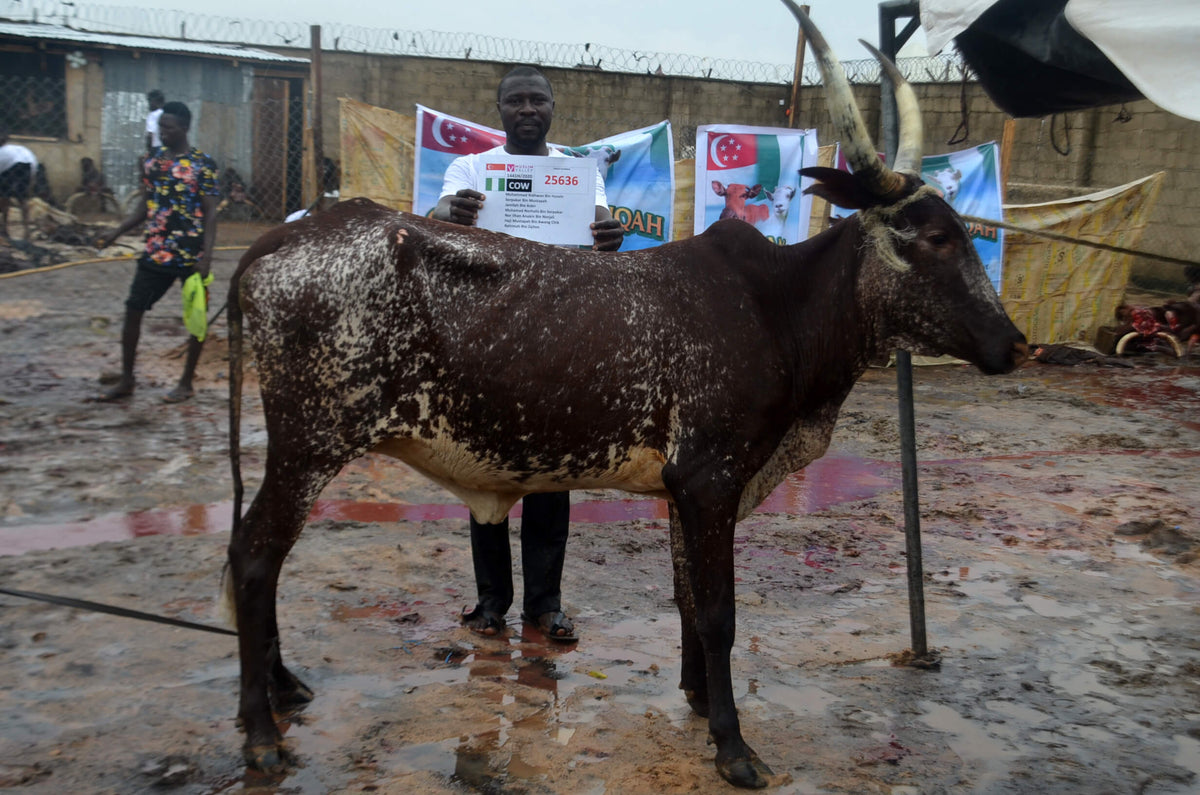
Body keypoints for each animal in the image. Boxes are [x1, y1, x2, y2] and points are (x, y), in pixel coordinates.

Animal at [223, 2, 1028, 788]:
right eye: (932, 237)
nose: (1016, 344)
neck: (780, 308)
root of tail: (288, 236)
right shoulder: (710, 477)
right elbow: (719, 611)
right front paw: (733, 745)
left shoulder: (683, 487)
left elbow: (687, 597)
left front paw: (699, 697)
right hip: (309, 442)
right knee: (255, 556)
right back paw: (261, 734)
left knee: (248, 554)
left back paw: (285, 688)